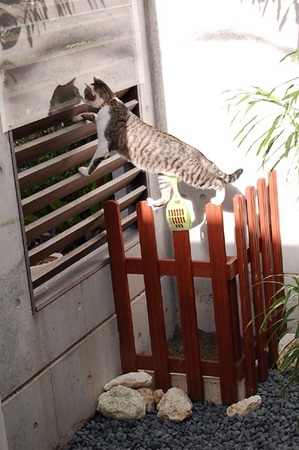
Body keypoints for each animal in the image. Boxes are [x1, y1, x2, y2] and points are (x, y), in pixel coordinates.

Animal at [73, 76, 244, 207]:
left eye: (85, 93)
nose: (81, 97)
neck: (110, 101)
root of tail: (196, 151)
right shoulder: (98, 121)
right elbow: (90, 115)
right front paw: (76, 117)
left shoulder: (103, 145)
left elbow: (93, 164)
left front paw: (83, 171)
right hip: (164, 176)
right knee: (167, 197)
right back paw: (153, 203)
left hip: (194, 176)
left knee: (218, 182)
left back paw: (217, 200)